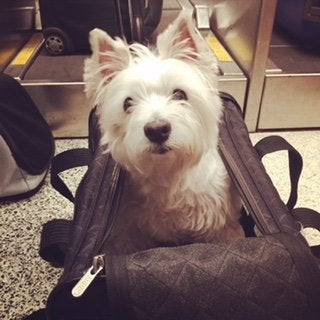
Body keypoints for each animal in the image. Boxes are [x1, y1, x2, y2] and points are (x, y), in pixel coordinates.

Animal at [84, 12, 244, 254]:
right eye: (127, 103)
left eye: (180, 94)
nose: (157, 130)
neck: (169, 174)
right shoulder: (131, 232)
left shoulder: (220, 225)